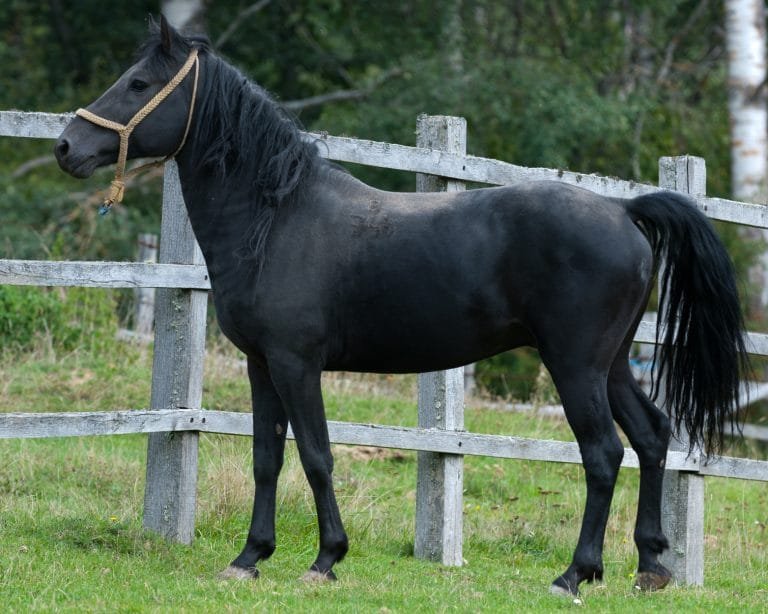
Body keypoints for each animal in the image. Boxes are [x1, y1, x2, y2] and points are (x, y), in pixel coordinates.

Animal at [54, 17, 748, 596]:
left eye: (138, 82)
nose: (66, 147)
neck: (278, 218)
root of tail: (623, 209)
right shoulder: (261, 366)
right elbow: (266, 459)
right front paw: (250, 558)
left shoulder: (297, 364)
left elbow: (317, 455)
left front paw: (325, 559)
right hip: (610, 365)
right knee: (652, 437)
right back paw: (650, 567)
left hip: (575, 366)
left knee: (603, 454)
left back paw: (574, 574)